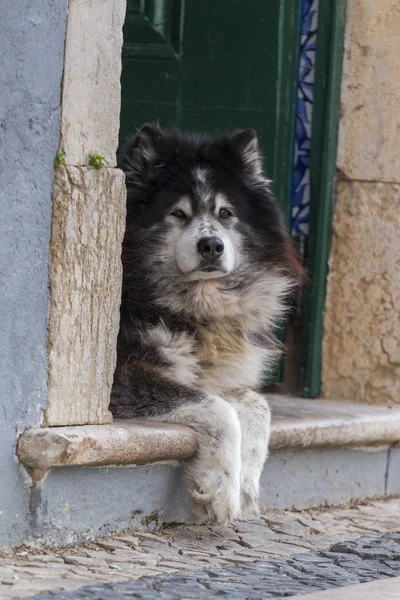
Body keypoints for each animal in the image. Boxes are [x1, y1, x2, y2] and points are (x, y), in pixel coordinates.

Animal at [111, 124, 302, 524]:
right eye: (178, 213)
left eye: (226, 213)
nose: (212, 245)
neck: (196, 309)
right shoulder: (124, 374)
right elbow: (220, 410)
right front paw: (221, 487)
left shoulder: (218, 376)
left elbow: (259, 405)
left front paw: (245, 482)